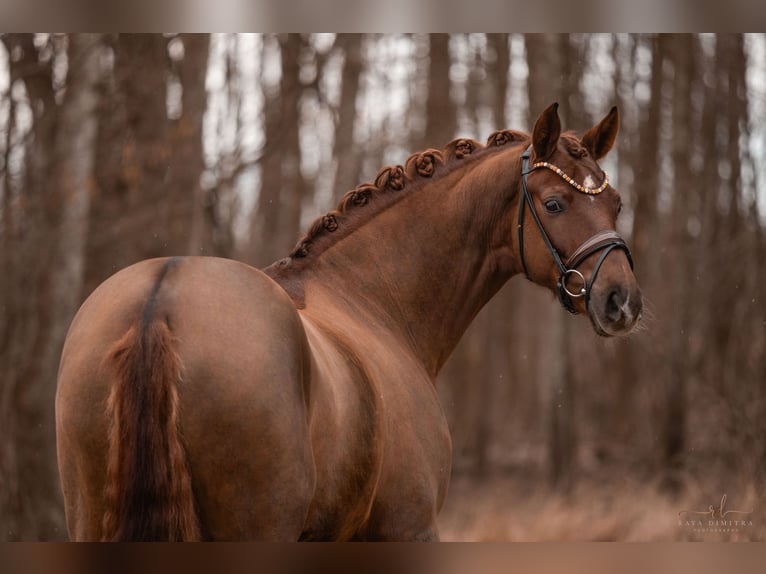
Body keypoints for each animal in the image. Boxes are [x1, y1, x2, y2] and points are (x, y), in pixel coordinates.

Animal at [55, 104, 640, 544]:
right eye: (555, 203)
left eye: (615, 202)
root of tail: (160, 302)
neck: (373, 297)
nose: (622, 301)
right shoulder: (409, 527)